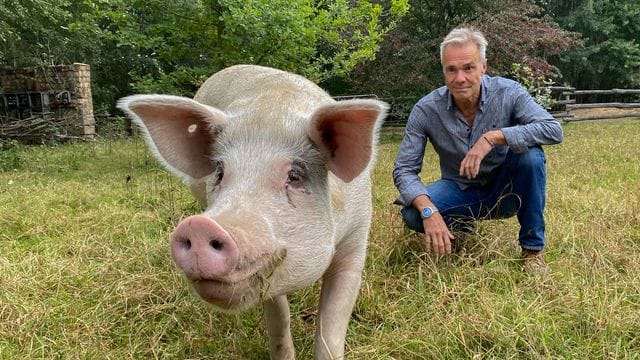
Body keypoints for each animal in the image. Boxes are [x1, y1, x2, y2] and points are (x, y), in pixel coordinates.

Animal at [117, 65, 388, 360]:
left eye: (294, 176)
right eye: (220, 172)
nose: (199, 227)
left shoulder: (356, 240)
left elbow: (331, 328)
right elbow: (279, 316)